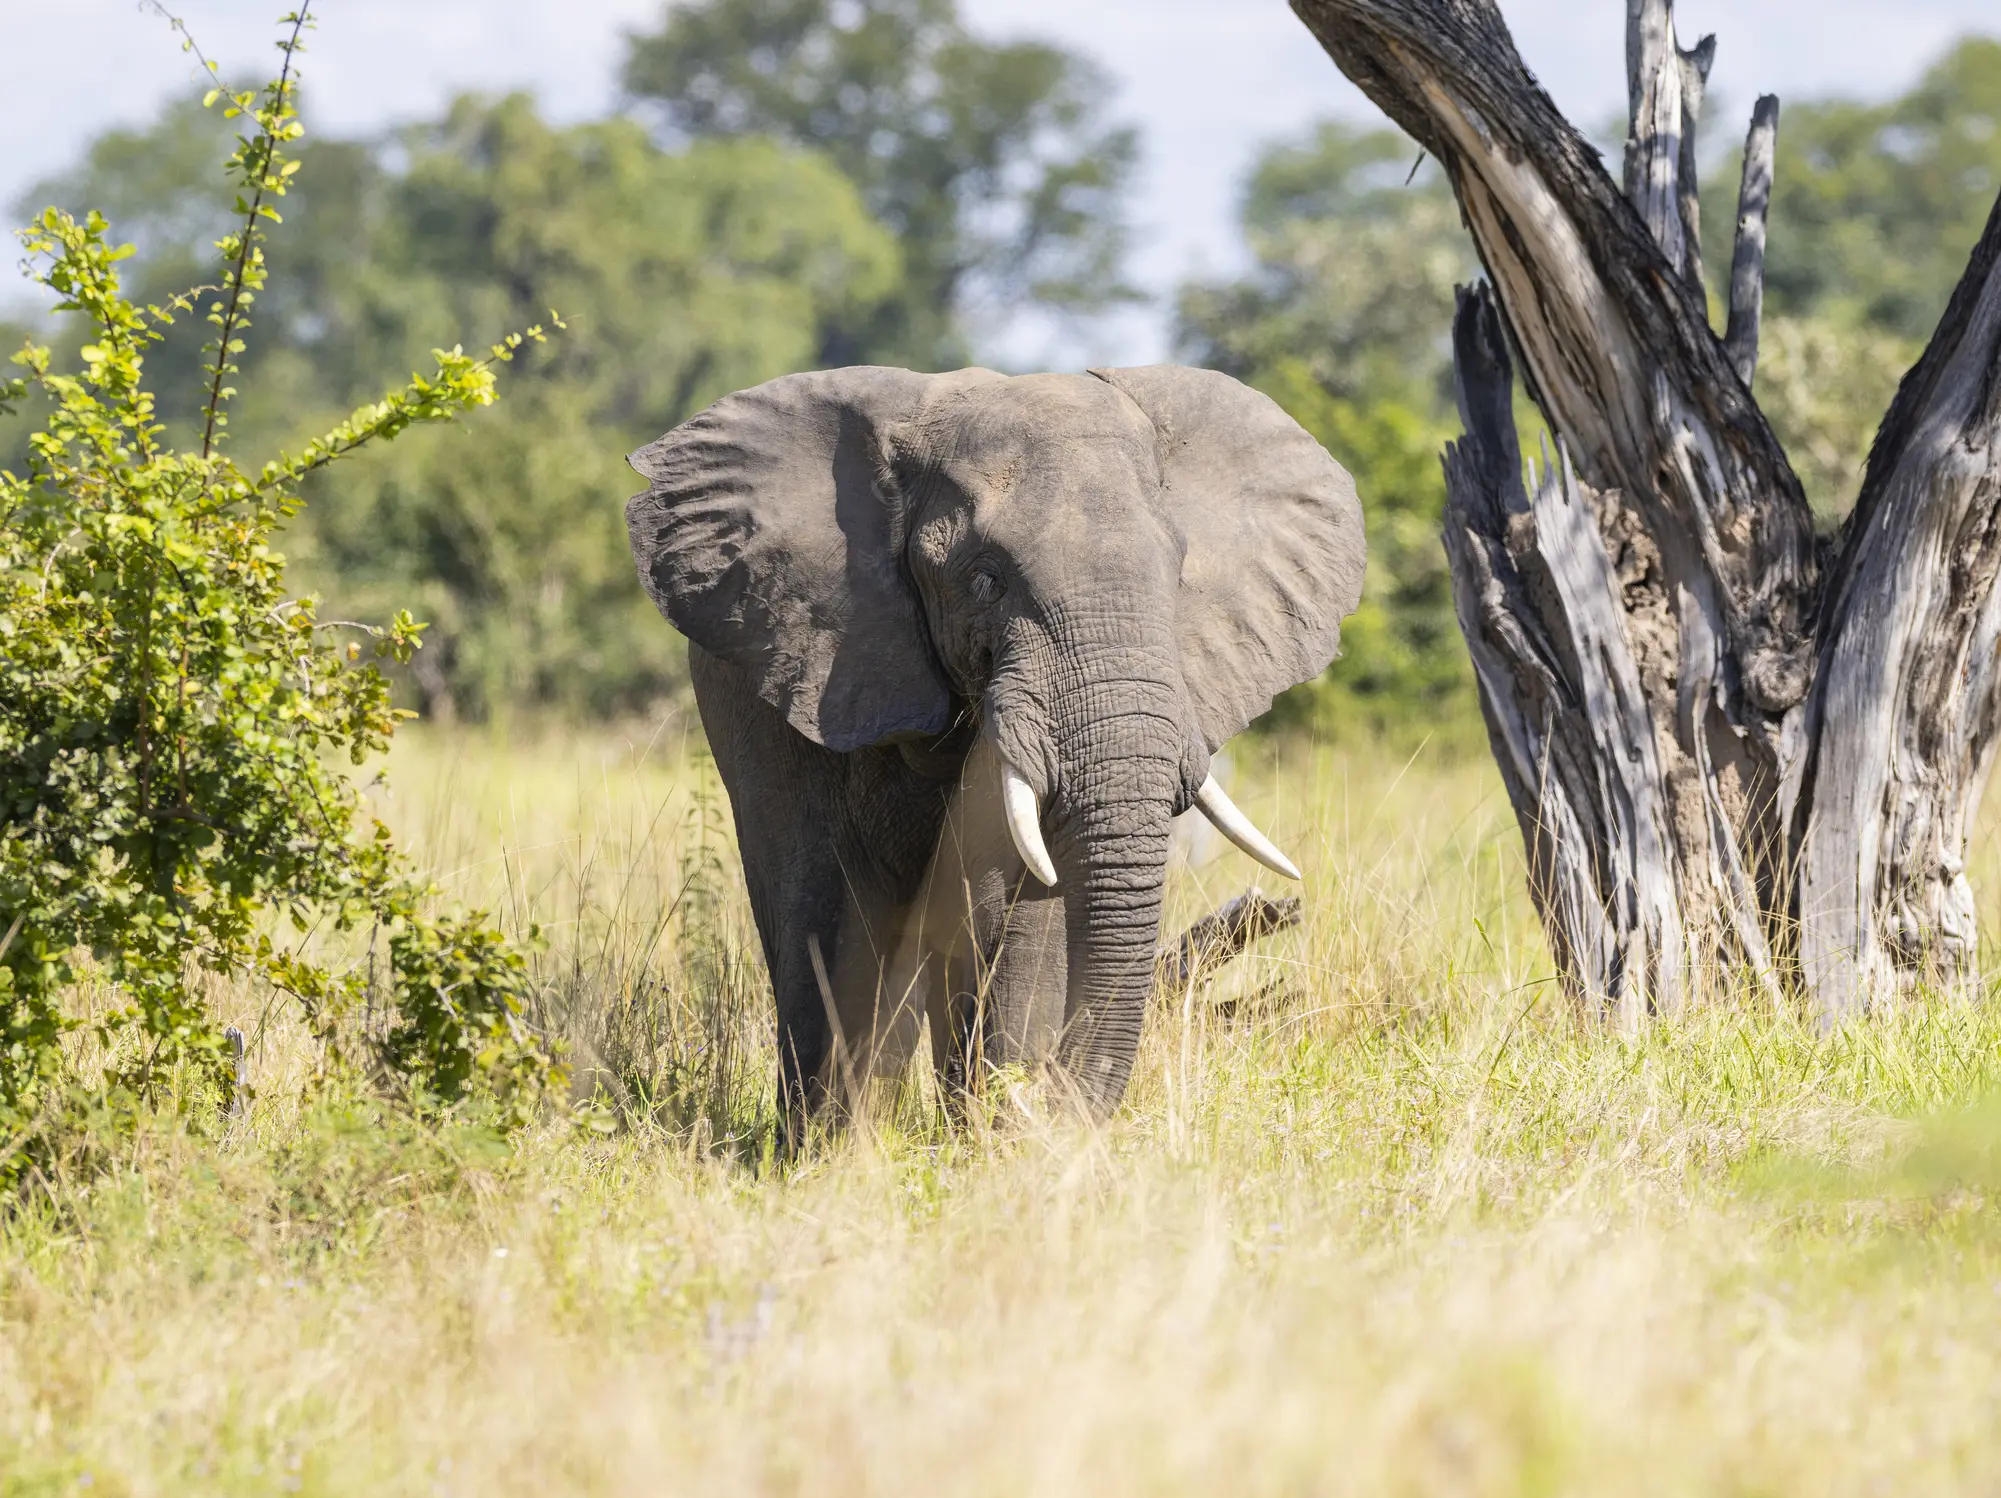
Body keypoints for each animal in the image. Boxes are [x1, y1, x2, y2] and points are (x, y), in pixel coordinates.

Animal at [625, 363, 1364, 1137]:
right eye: (985, 579)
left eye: (1177, 571)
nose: (1041, 1100)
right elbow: (824, 901)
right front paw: (831, 1149)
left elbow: (1027, 904)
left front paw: (993, 1141)